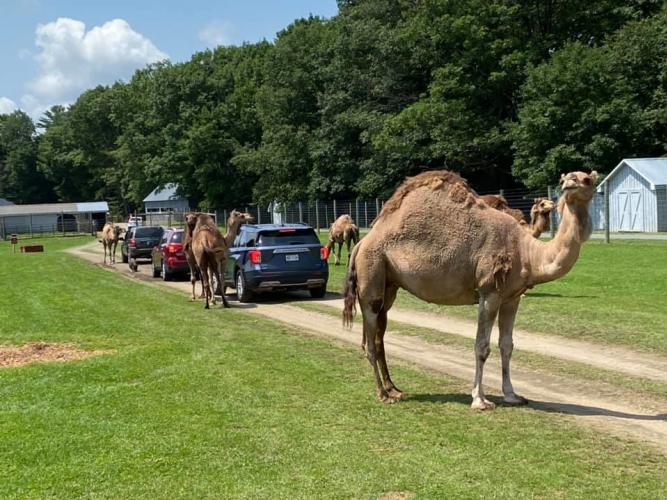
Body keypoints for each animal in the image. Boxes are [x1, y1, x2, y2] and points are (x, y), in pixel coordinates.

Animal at [344, 170, 600, 408]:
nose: (569, 185)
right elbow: (481, 346)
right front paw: (480, 399)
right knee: (369, 337)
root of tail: (362, 243)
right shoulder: (489, 293)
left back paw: (394, 389)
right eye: (564, 179)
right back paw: (383, 394)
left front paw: (512, 395)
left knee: (379, 335)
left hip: (390, 284)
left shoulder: (512, 297)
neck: (527, 252)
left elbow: (507, 346)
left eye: (587, 179)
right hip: (371, 273)